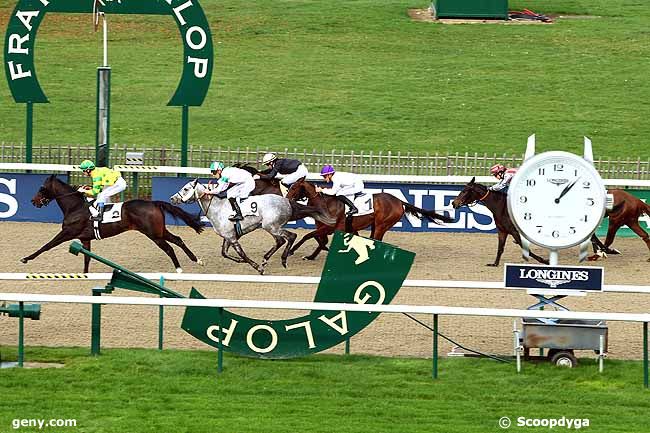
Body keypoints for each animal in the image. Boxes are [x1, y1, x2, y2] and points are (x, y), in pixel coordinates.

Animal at [23, 174, 202, 272]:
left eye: (42, 188)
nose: (33, 201)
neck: (75, 207)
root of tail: (154, 203)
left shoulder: (67, 232)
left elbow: (47, 245)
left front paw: (26, 258)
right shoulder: (85, 238)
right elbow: (86, 258)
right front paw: (84, 274)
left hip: (153, 234)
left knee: (169, 248)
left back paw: (179, 268)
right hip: (159, 230)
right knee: (178, 240)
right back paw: (196, 259)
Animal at [170, 179, 334, 274]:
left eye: (186, 189)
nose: (172, 198)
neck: (217, 209)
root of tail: (287, 201)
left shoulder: (232, 238)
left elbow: (241, 253)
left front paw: (257, 267)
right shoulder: (229, 236)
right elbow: (224, 253)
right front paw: (243, 262)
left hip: (271, 226)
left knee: (291, 236)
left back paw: (283, 259)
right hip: (271, 227)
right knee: (280, 241)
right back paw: (267, 259)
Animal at [286, 176, 454, 258]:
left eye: (294, 188)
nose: (286, 198)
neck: (325, 203)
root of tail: (399, 201)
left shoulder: (331, 227)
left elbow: (307, 236)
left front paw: (291, 251)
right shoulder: (335, 227)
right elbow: (319, 239)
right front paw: (312, 255)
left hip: (382, 224)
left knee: (376, 240)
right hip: (376, 224)